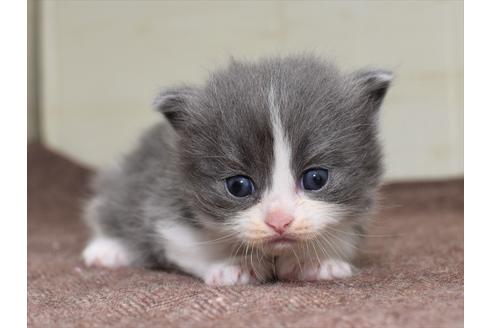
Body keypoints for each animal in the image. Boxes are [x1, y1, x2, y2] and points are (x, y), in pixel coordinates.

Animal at [83, 55, 392, 284]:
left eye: (316, 179)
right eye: (238, 186)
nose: (279, 221)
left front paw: (315, 260)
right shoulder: (165, 200)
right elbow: (186, 242)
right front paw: (234, 264)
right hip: (125, 179)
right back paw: (108, 249)